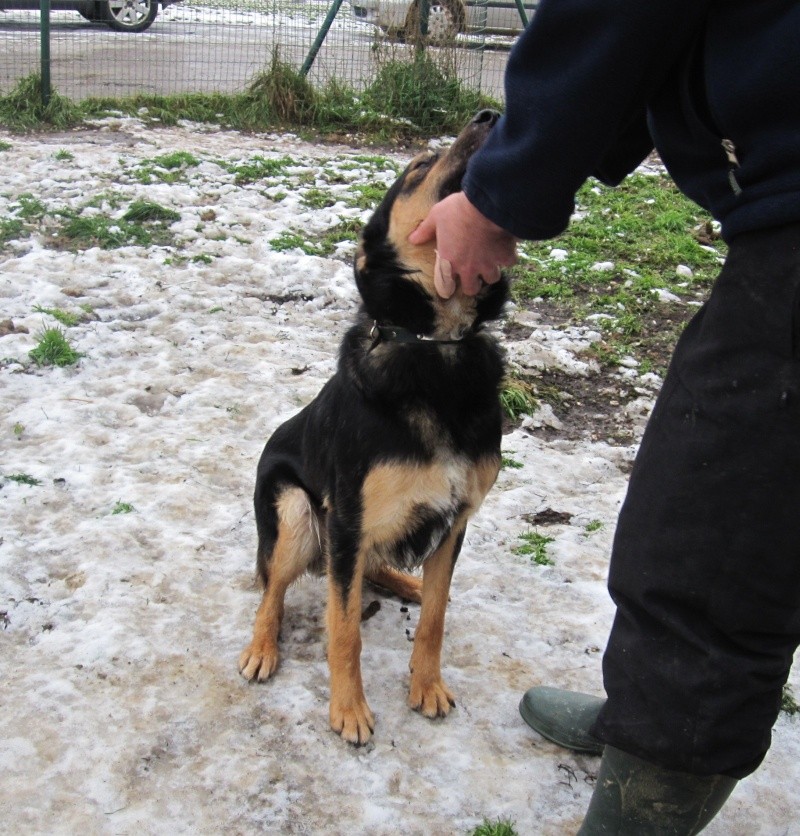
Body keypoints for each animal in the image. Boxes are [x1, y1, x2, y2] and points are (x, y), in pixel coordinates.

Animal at [238, 111, 510, 744]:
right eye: (419, 166)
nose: (491, 115)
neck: (436, 343)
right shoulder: (345, 518)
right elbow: (345, 632)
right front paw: (349, 709)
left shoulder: (455, 519)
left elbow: (434, 618)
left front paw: (426, 685)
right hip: (295, 513)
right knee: (273, 591)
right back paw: (262, 647)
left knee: (379, 572)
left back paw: (405, 582)